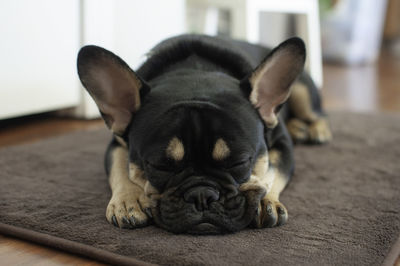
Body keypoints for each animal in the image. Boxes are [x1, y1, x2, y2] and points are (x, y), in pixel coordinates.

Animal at [77, 34, 332, 234]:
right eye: (160, 166)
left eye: (239, 162)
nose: (202, 195)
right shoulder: (118, 143)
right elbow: (119, 169)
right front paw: (128, 201)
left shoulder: (281, 143)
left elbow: (272, 171)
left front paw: (265, 201)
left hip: (302, 91)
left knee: (317, 113)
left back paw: (316, 129)